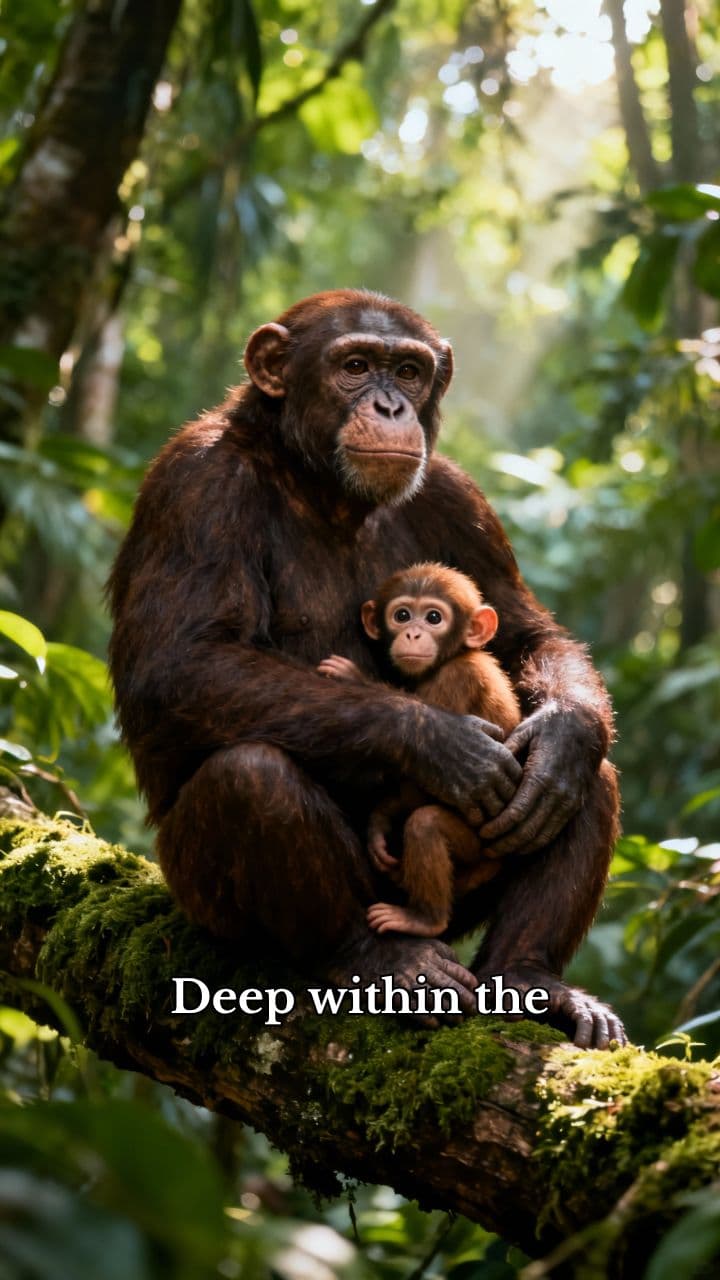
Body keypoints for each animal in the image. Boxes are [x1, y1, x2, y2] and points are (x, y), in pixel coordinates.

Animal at [319, 563, 522, 938]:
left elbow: (426, 775)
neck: (457, 654)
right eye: (402, 615)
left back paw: (425, 919)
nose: (413, 634)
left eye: (433, 617)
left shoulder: (455, 678)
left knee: (425, 824)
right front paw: (381, 820)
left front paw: (355, 680)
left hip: (475, 846)